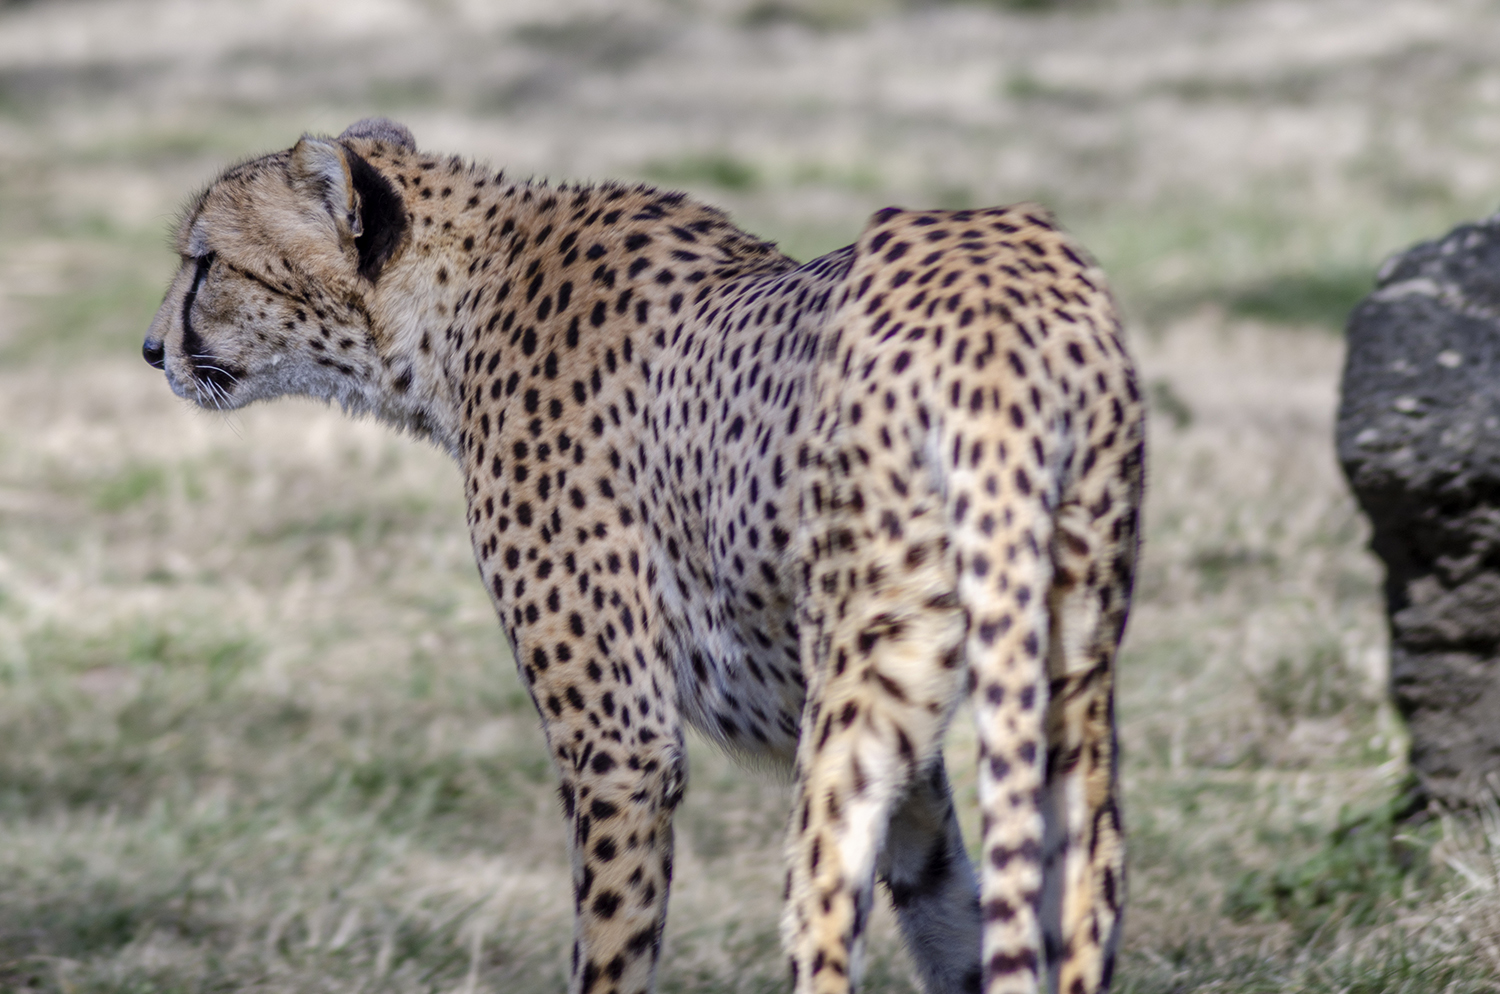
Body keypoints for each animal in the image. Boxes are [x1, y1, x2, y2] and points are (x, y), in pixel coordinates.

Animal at [143, 118, 1145, 994]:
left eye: (207, 261)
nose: (152, 351)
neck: (456, 311)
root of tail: (994, 290)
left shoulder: (620, 744)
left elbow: (612, 945)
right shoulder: (920, 768)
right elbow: (956, 916)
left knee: (823, 907)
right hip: (1064, 680)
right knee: (1087, 872)